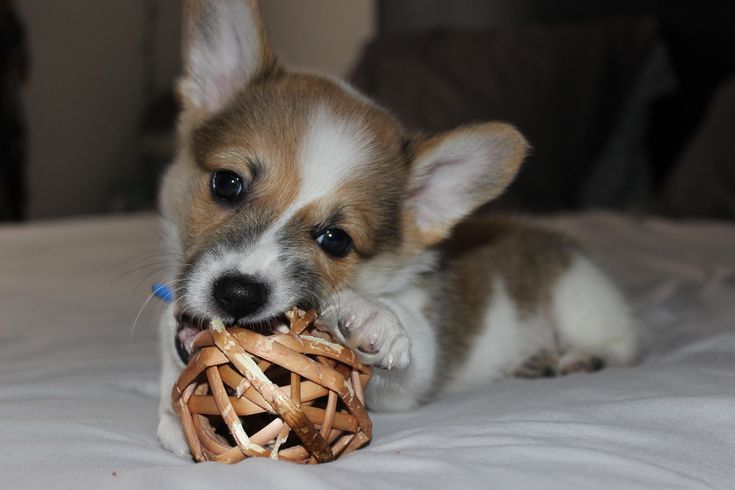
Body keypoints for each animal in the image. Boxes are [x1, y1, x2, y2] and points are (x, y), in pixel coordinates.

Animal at [157, 0, 640, 456]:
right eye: (227, 183)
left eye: (335, 239)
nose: (239, 294)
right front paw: (176, 419)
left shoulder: (413, 373)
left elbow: (406, 348)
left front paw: (371, 315)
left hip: (580, 301)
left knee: (622, 345)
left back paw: (577, 357)